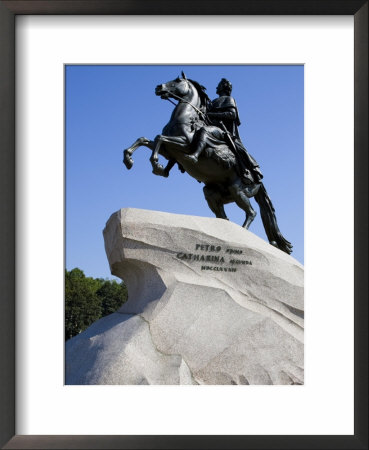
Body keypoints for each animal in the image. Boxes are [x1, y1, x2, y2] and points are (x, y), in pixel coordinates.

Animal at [122, 72, 292, 255]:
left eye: (177, 81)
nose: (158, 87)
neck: (186, 117)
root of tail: (259, 181)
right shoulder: (169, 151)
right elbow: (145, 140)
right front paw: (129, 160)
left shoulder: (183, 144)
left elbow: (160, 138)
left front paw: (156, 164)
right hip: (212, 193)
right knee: (224, 216)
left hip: (238, 190)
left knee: (251, 213)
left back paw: (243, 234)